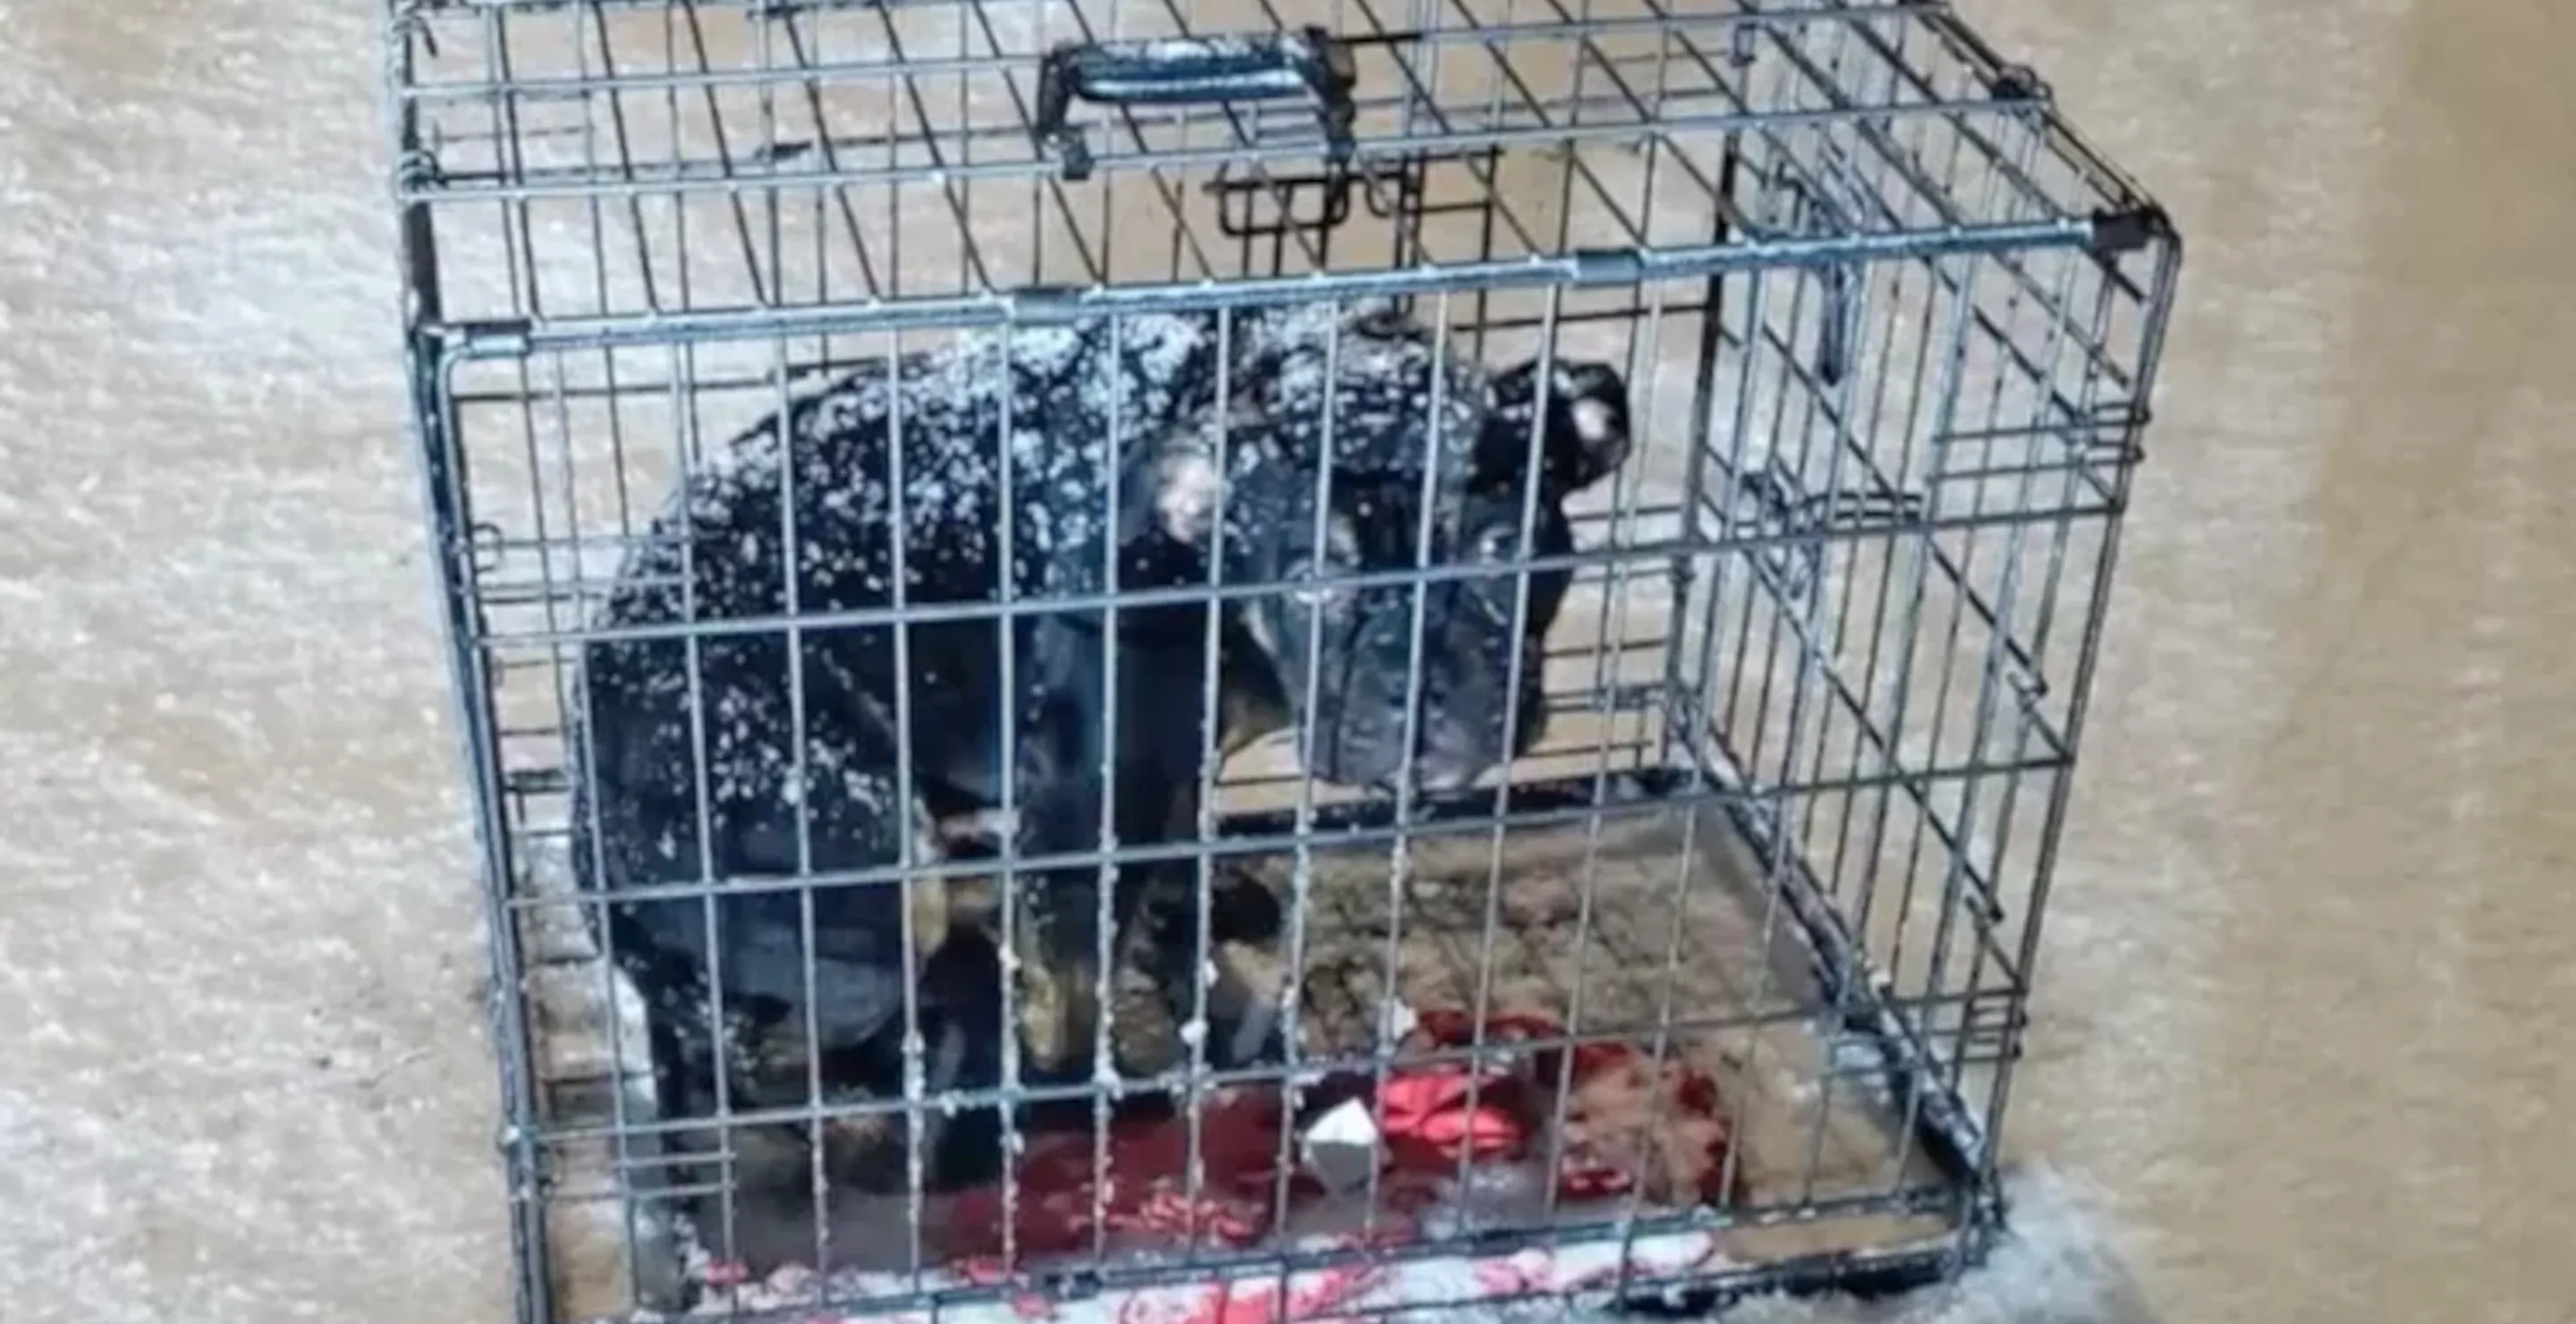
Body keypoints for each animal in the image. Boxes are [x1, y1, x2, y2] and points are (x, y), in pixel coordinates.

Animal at [391, 2, 2184, 1319]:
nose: (1430, 706)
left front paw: (1212, 943)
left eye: (1503, 545)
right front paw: (1104, 1076)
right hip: (859, 849)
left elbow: (1177, 891)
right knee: (929, 996)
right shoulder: (1085, 799)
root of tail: (620, 897)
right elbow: (1080, 975)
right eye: (1314, 570)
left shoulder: (1164, 783)